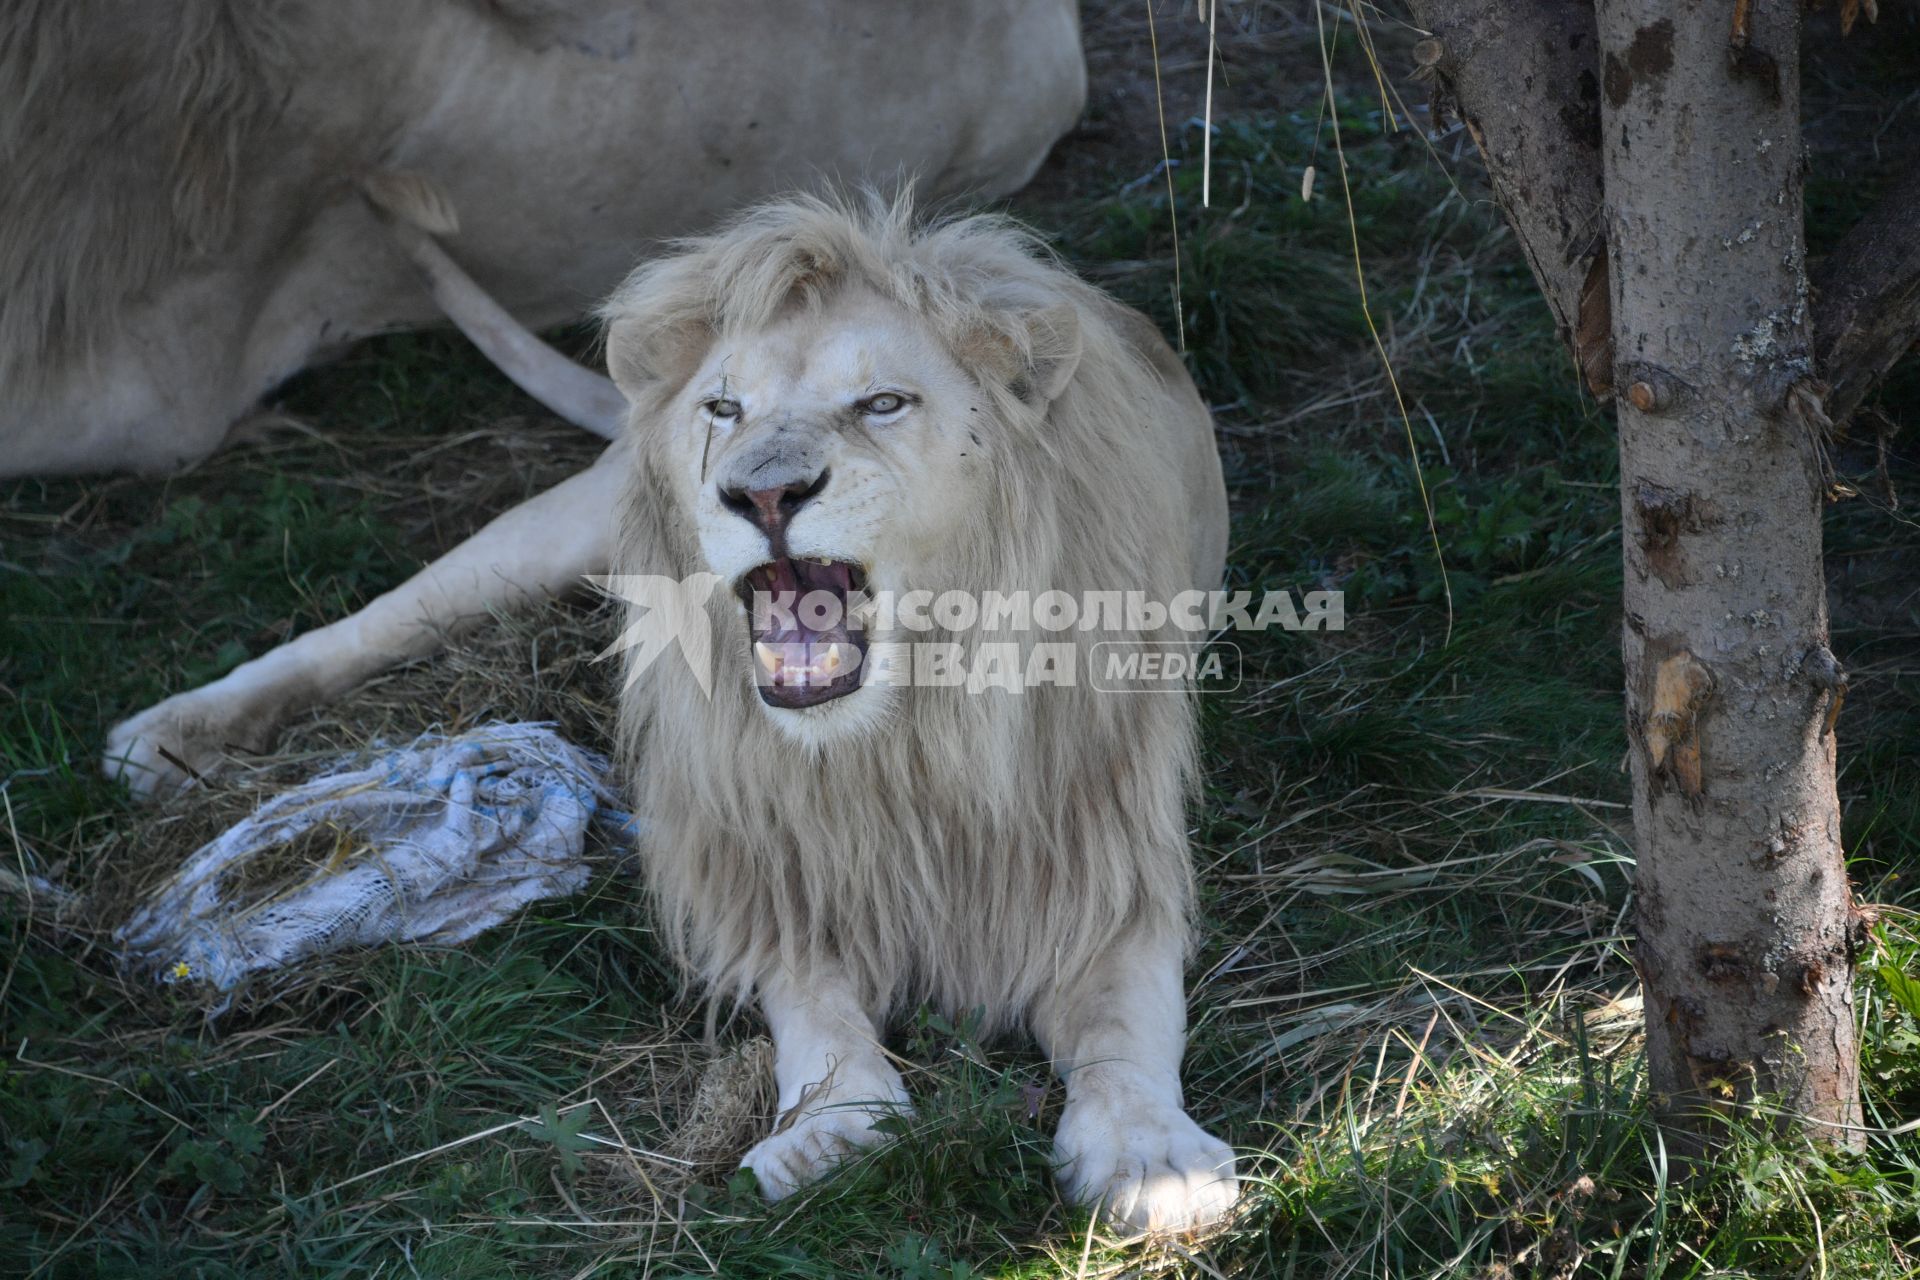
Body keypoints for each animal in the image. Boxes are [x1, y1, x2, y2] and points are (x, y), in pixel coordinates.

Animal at [599, 197, 1236, 1228]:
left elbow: (1125, 1023)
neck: (904, 741)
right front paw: (833, 1127)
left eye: (882, 404)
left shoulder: (1104, 862)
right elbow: (815, 1009)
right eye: (723, 410)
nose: (762, 491)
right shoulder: (789, 873)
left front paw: (1152, 1160)